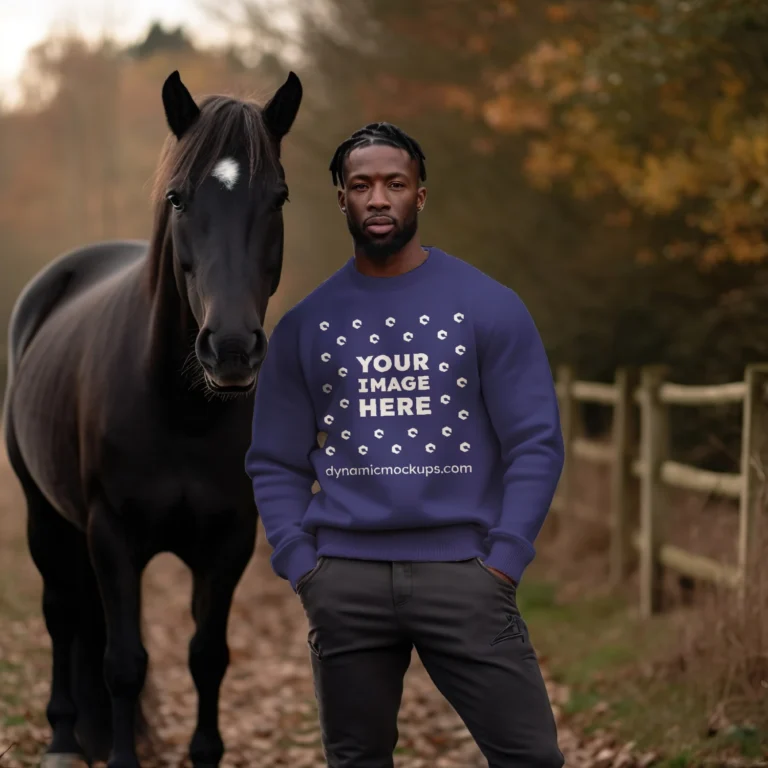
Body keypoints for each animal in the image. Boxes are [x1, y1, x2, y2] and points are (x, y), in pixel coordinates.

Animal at [3, 69, 304, 764]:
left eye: (278, 197)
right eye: (178, 197)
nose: (231, 347)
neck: (179, 411)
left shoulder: (229, 542)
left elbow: (208, 657)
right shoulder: (112, 536)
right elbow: (124, 663)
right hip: (44, 516)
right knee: (62, 613)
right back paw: (64, 738)